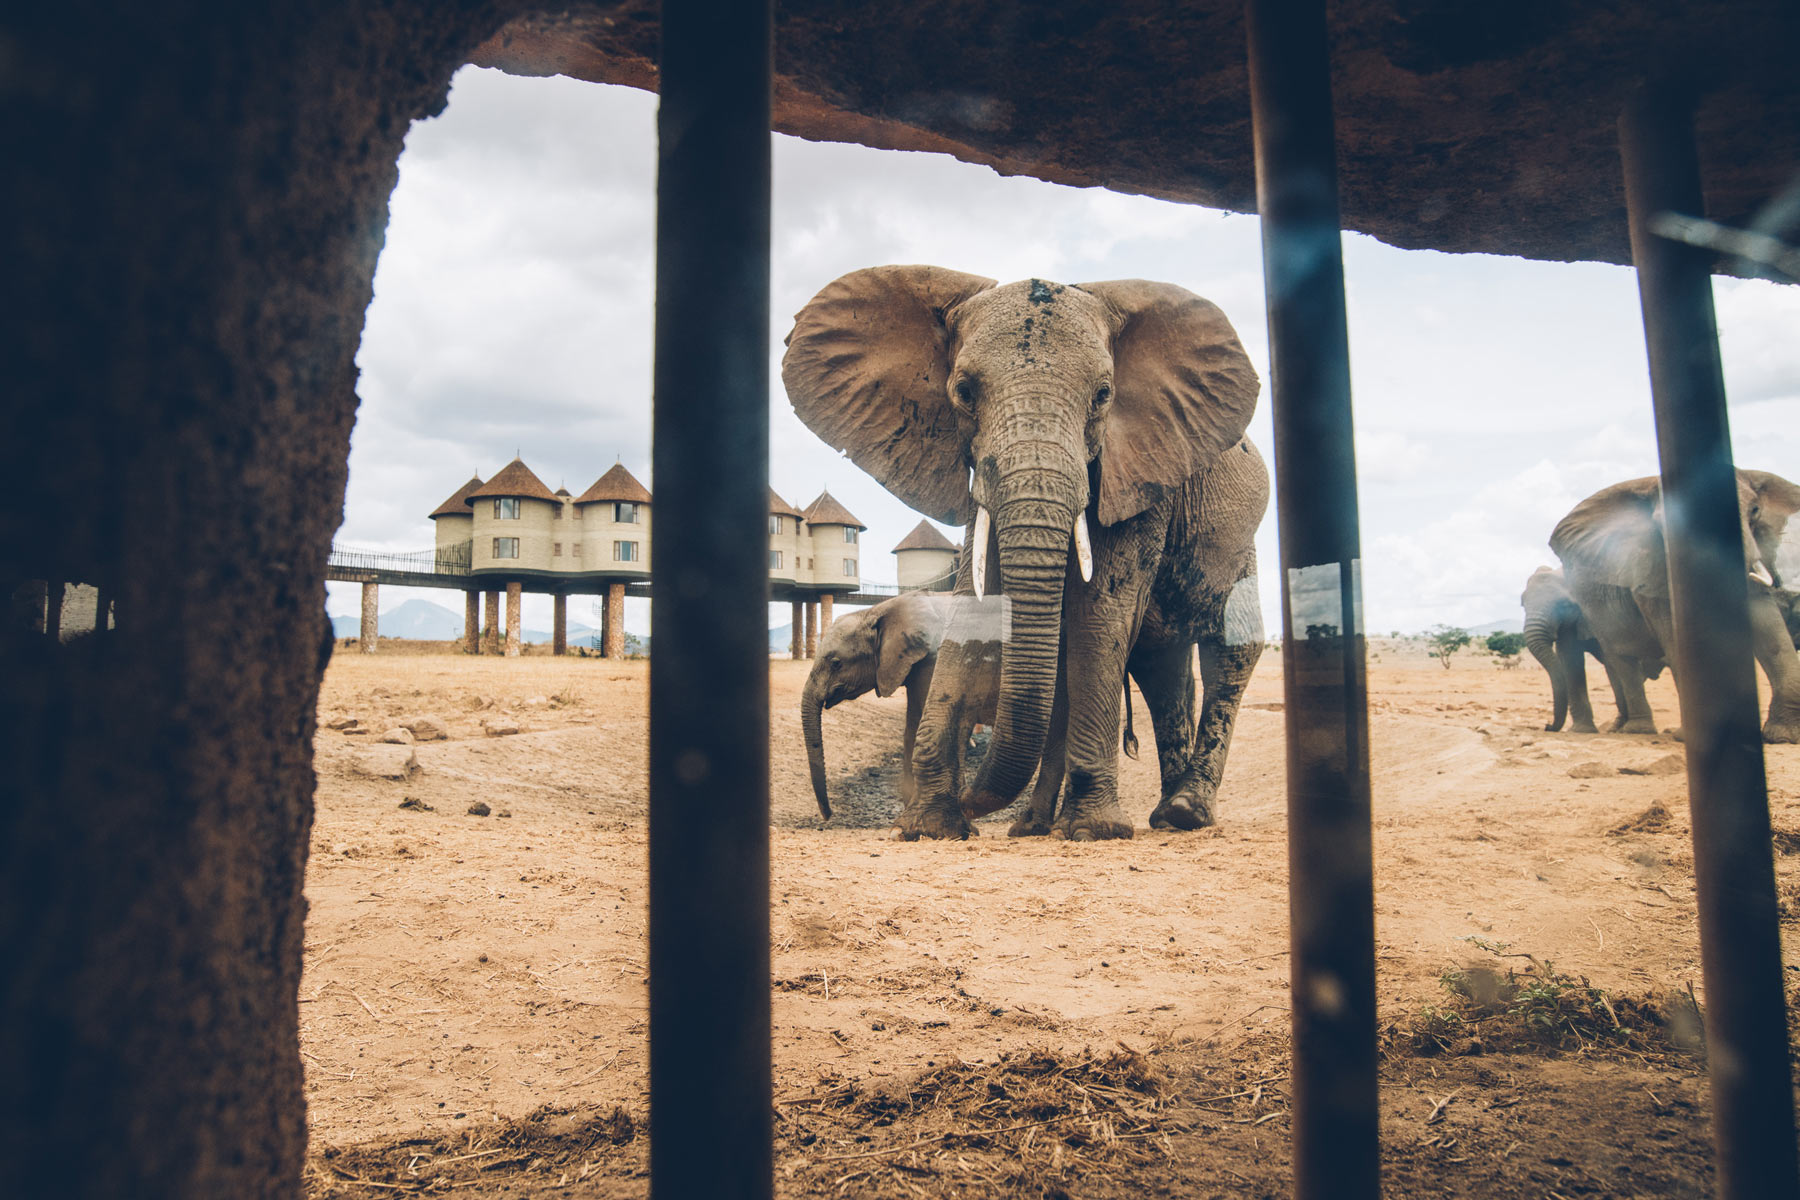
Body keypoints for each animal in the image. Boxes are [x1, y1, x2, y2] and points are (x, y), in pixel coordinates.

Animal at [777, 268, 1267, 841]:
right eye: (964, 392)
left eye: (1104, 395)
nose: (827, 817)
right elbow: (975, 601)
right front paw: (929, 827)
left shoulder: (1140, 477)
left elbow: (1101, 614)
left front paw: (1093, 831)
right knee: (1158, 664)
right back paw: (1096, 822)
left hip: (1238, 545)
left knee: (1227, 649)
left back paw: (1184, 813)